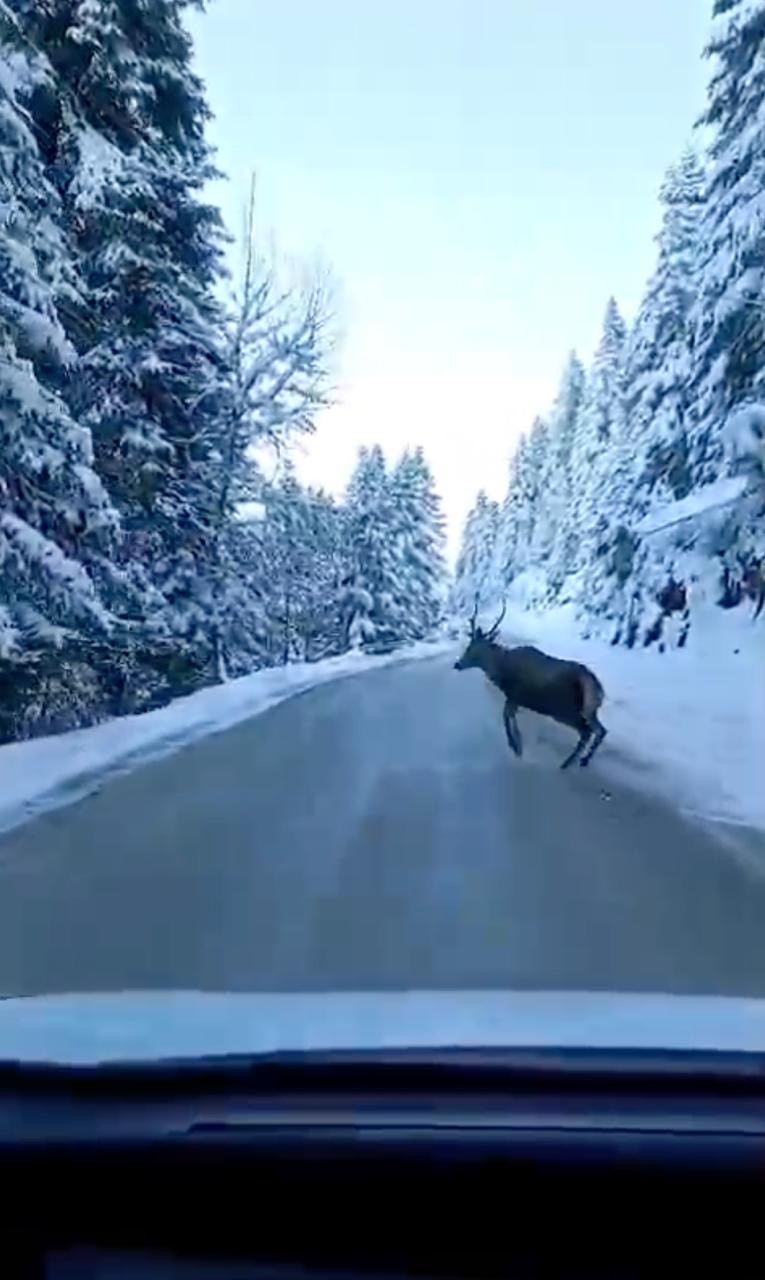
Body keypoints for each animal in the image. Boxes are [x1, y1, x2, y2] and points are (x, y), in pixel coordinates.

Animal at [455, 599, 611, 768]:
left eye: (476, 650)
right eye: (468, 647)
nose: (457, 664)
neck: (502, 671)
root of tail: (598, 689)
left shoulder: (515, 695)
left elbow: (506, 717)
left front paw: (516, 746)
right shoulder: (516, 699)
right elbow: (509, 717)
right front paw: (517, 745)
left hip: (564, 709)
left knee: (587, 731)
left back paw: (567, 763)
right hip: (588, 711)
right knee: (600, 730)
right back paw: (583, 760)